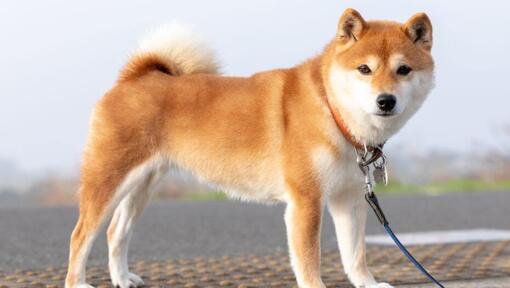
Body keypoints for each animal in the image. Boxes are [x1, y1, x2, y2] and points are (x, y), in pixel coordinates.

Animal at [65, 7, 434, 288]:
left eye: (403, 69)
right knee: (81, 235)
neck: (331, 110)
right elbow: (309, 260)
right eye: (364, 69)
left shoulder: (349, 198)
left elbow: (355, 254)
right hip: (109, 179)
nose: (385, 100)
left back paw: (122, 278)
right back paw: (78, 281)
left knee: (116, 232)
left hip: (142, 185)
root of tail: (132, 79)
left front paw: (368, 284)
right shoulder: (306, 200)